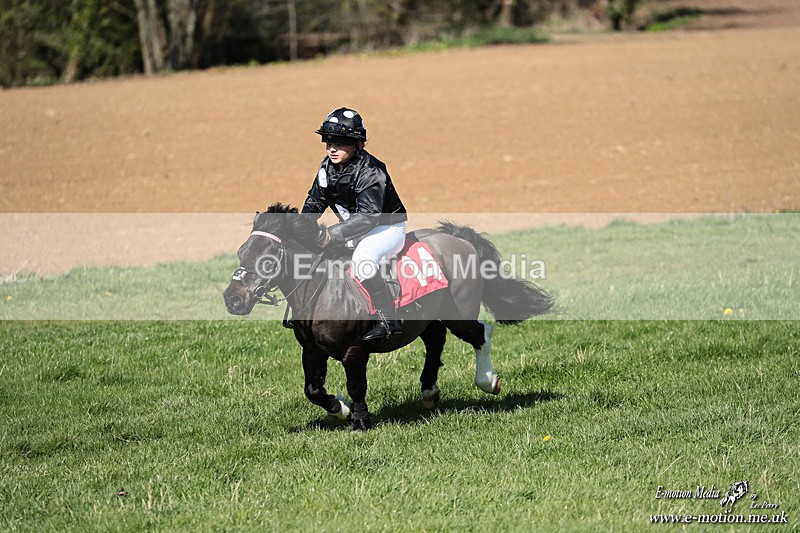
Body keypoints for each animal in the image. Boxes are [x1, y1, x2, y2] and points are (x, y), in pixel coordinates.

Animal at [223, 203, 553, 430]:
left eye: (267, 257)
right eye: (241, 252)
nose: (233, 299)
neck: (322, 289)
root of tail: (457, 238)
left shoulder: (355, 350)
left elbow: (356, 386)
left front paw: (360, 422)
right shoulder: (312, 351)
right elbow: (313, 390)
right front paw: (342, 411)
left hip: (458, 314)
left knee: (481, 333)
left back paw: (487, 381)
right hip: (426, 317)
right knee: (435, 340)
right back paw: (429, 391)